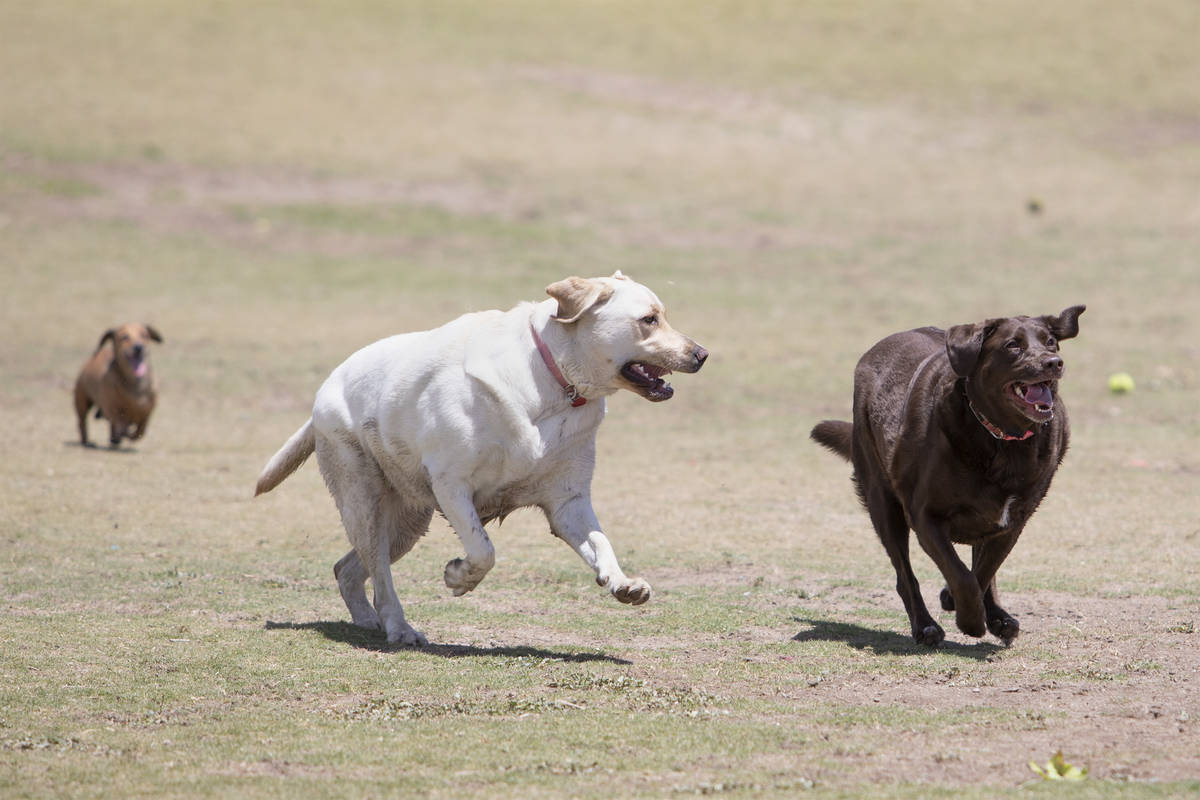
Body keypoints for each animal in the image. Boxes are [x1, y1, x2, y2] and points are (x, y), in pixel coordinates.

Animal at [253, 272, 700, 647]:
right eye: (649, 319)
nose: (702, 354)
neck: (553, 385)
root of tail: (322, 394)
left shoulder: (568, 501)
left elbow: (601, 541)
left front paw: (623, 583)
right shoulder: (451, 486)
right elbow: (484, 549)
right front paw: (459, 578)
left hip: (406, 521)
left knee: (347, 568)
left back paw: (368, 620)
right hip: (364, 501)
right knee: (379, 574)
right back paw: (399, 627)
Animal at [811, 303, 1084, 647]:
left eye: (1051, 342)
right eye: (1013, 345)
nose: (1053, 362)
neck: (1002, 440)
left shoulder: (1012, 521)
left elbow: (983, 571)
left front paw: (965, 605)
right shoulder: (926, 517)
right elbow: (962, 575)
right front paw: (969, 620)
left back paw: (999, 618)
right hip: (882, 502)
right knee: (905, 575)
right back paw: (925, 627)